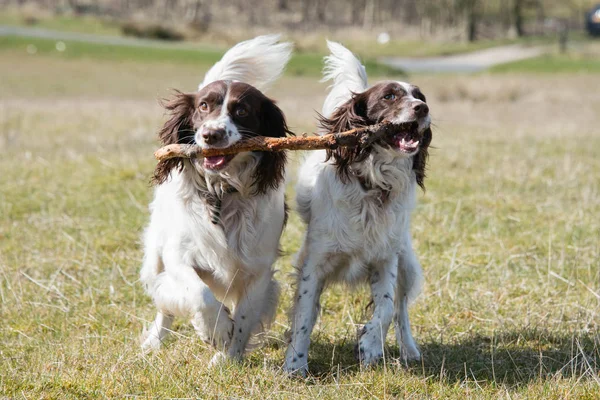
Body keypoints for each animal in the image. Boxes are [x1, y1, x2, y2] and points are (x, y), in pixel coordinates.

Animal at [139, 36, 292, 364]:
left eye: (242, 110)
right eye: (203, 106)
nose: (211, 134)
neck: (223, 192)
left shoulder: (257, 269)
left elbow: (244, 318)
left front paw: (228, 358)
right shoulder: (178, 255)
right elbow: (200, 294)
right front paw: (217, 330)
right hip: (156, 253)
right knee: (164, 302)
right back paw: (155, 341)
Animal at [286, 41, 432, 376]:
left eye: (420, 95)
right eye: (389, 96)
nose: (422, 108)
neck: (372, 185)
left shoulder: (385, 259)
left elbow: (387, 307)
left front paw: (369, 343)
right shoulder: (313, 264)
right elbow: (304, 318)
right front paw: (295, 365)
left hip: (406, 261)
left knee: (401, 309)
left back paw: (409, 350)